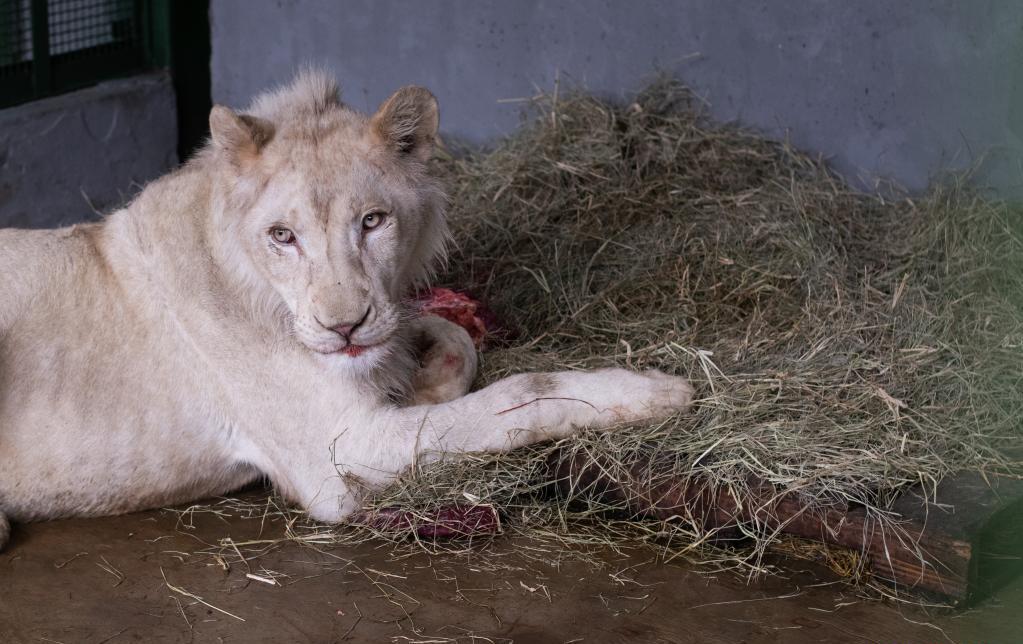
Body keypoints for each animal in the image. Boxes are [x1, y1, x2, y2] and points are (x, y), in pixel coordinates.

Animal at [0, 70, 695, 547]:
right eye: (283, 236)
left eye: (373, 221)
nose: (343, 327)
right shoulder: (339, 454)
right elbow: (520, 394)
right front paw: (654, 391)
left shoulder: (387, 326)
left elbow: (454, 337)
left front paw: (425, 379)